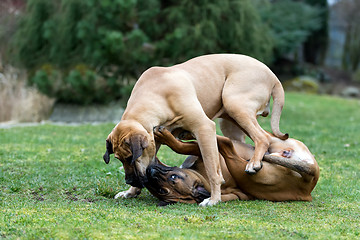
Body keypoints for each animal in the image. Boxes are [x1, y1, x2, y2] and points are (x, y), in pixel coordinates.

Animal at [103, 54, 286, 206]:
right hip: (231, 122)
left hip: (235, 104)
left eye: (130, 158)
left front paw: (214, 199)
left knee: (262, 137)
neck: (157, 94)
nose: (129, 181)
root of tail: (273, 75)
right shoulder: (154, 139)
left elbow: (212, 171)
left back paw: (254, 163)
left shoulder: (204, 128)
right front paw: (131, 192)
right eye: (119, 159)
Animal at [145, 127, 320, 204]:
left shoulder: (202, 152)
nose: (149, 172)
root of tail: (308, 184)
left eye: (173, 177)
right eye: (161, 190)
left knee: (230, 143)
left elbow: (183, 147)